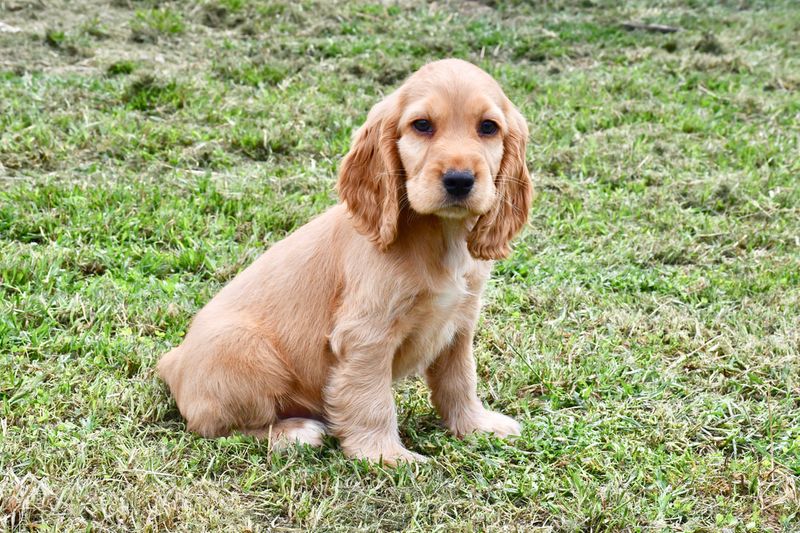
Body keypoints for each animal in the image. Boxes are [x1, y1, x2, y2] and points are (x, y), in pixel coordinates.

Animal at [156, 60, 532, 464]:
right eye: (422, 125)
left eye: (488, 127)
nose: (459, 180)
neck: (440, 236)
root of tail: (173, 361)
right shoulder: (367, 334)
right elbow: (372, 399)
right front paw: (387, 455)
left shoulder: (460, 322)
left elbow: (460, 379)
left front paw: (476, 425)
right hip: (247, 351)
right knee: (215, 427)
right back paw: (294, 432)